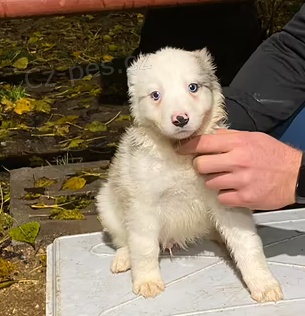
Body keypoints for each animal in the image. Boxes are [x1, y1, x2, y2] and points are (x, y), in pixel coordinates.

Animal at [95, 46, 282, 302]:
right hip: (107, 204)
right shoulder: (143, 206)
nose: (181, 119)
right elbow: (144, 248)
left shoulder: (227, 194)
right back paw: (124, 258)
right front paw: (147, 281)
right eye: (155, 95)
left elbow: (247, 244)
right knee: (123, 239)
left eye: (192, 87)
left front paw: (263, 283)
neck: (180, 155)